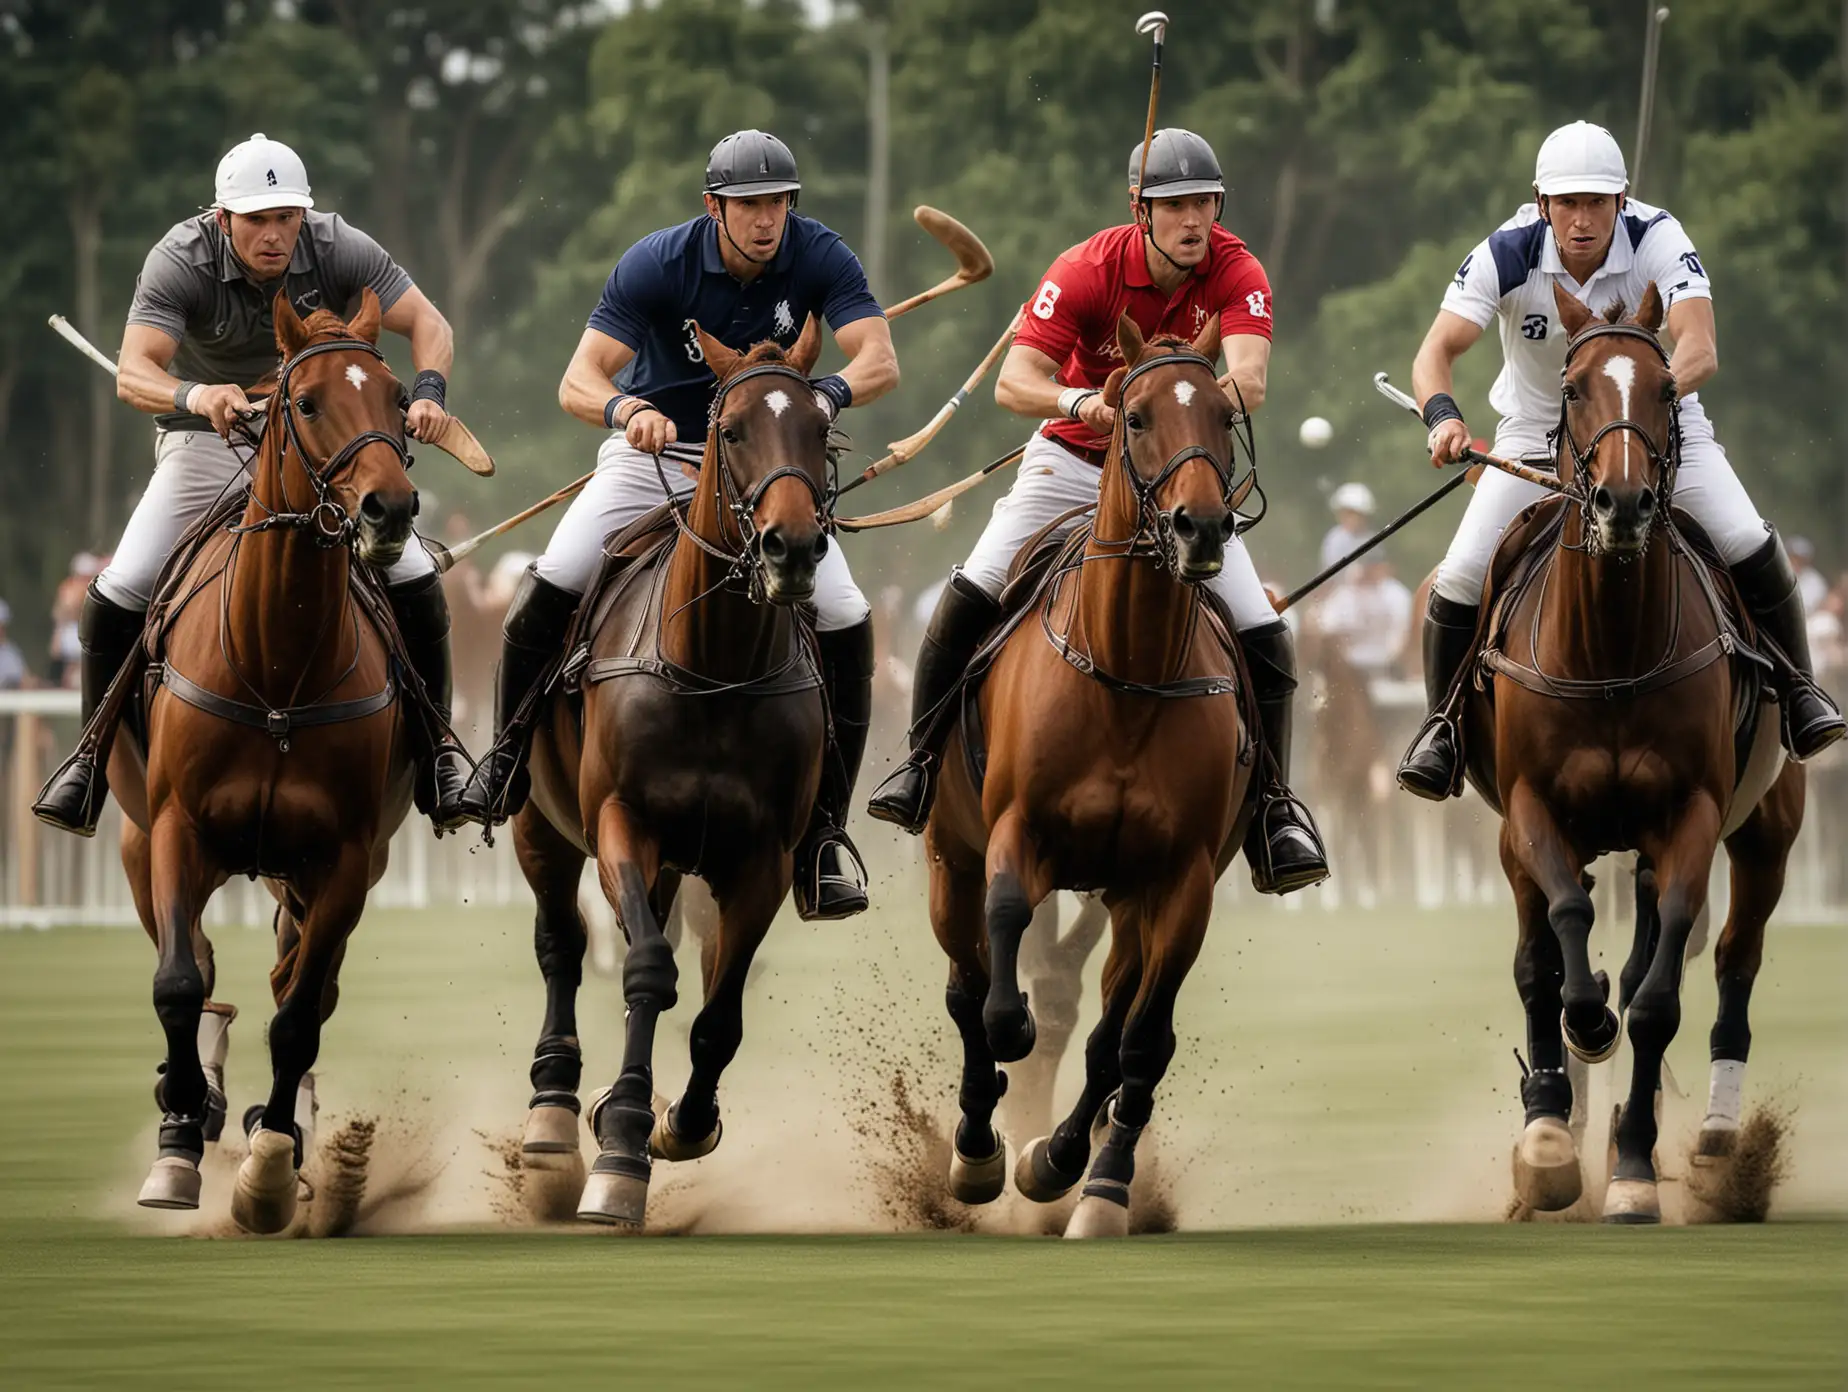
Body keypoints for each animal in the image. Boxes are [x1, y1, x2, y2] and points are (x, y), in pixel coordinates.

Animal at [116, 290, 428, 1227]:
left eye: (399, 398)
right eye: (309, 403)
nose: (389, 511)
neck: (276, 668)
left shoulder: (346, 857)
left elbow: (298, 1015)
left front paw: (272, 1164)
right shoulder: (177, 831)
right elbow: (179, 982)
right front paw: (185, 1122)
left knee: (301, 985)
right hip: (138, 842)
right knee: (200, 967)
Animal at [513, 319, 838, 1220]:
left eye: (820, 429)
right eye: (732, 432)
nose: (793, 549)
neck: (715, 666)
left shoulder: (762, 860)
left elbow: (718, 1014)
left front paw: (677, 1126)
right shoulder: (624, 822)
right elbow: (648, 971)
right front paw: (619, 1143)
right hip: (541, 827)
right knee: (562, 941)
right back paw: (552, 1113)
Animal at [931, 317, 1249, 1234]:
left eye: (1224, 413)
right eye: (1133, 417)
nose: (1200, 528)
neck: (1127, 674)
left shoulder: (1181, 881)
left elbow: (1136, 1043)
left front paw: (1074, 1172)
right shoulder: (1017, 832)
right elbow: (1002, 989)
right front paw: (1006, 1094)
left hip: (1127, 899)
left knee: (1114, 1028)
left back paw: (1065, 1165)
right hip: (948, 858)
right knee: (966, 987)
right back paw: (976, 1154)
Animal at [1463, 288, 1796, 1220]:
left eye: (1667, 387)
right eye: (1572, 387)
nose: (1622, 505)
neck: (1609, 651)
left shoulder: (1692, 818)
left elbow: (1657, 1001)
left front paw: (1636, 1170)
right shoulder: (1533, 811)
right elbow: (1565, 945)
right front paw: (1577, 1058)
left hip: (1766, 831)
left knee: (1730, 957)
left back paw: (1715, 1138)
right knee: (1543, 955)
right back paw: (1556, 1121)